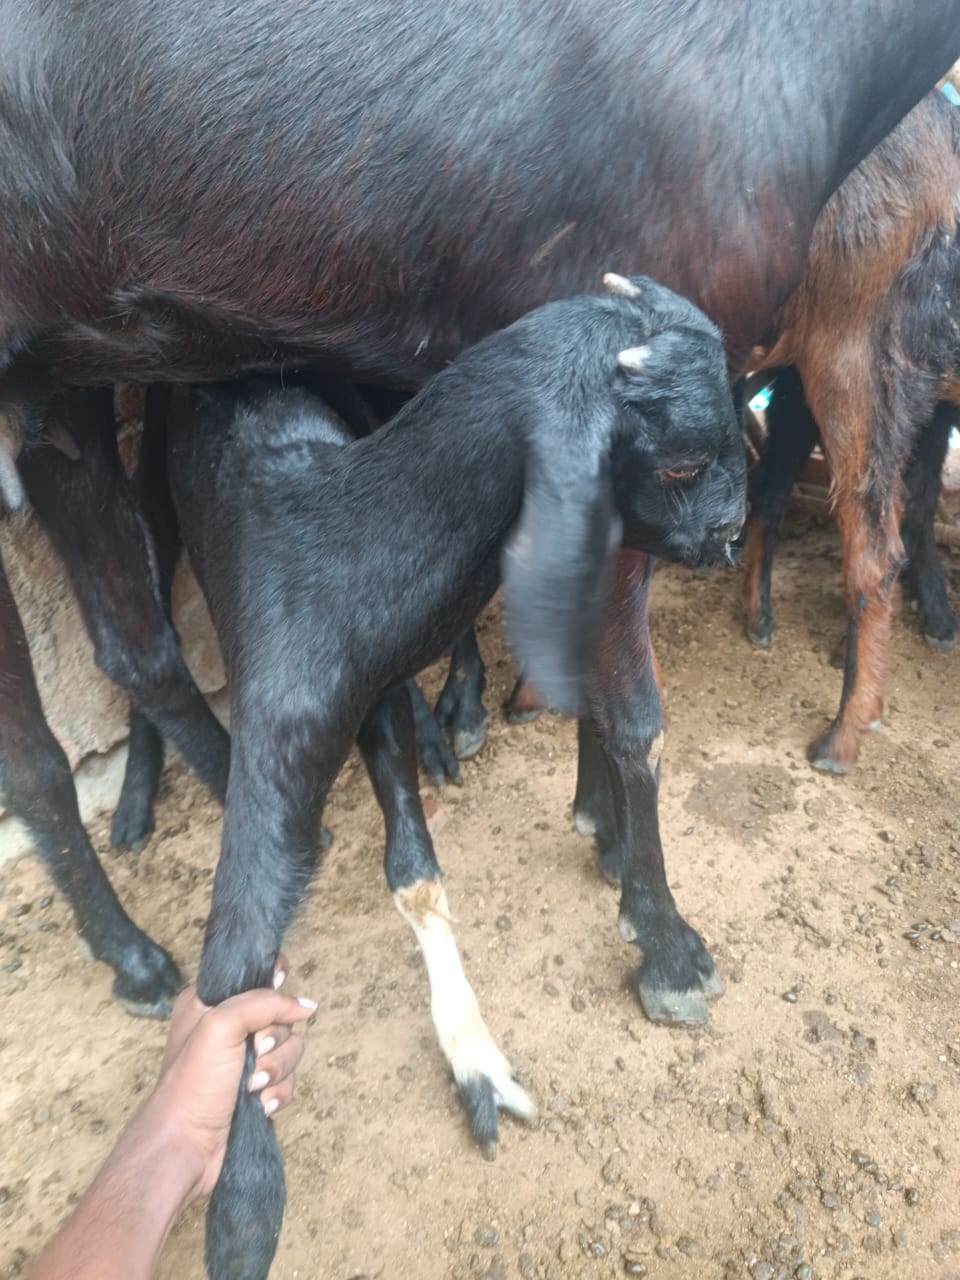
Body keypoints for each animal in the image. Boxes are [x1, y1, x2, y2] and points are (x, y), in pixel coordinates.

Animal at [162, 276, 745, 1278]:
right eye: (681, 463)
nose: (733, 533)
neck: (346, 543)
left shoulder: (374, 694)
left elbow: (416, 872)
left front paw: (477, 1060)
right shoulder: (284, 717)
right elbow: (233, 967)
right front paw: (241, 1213)